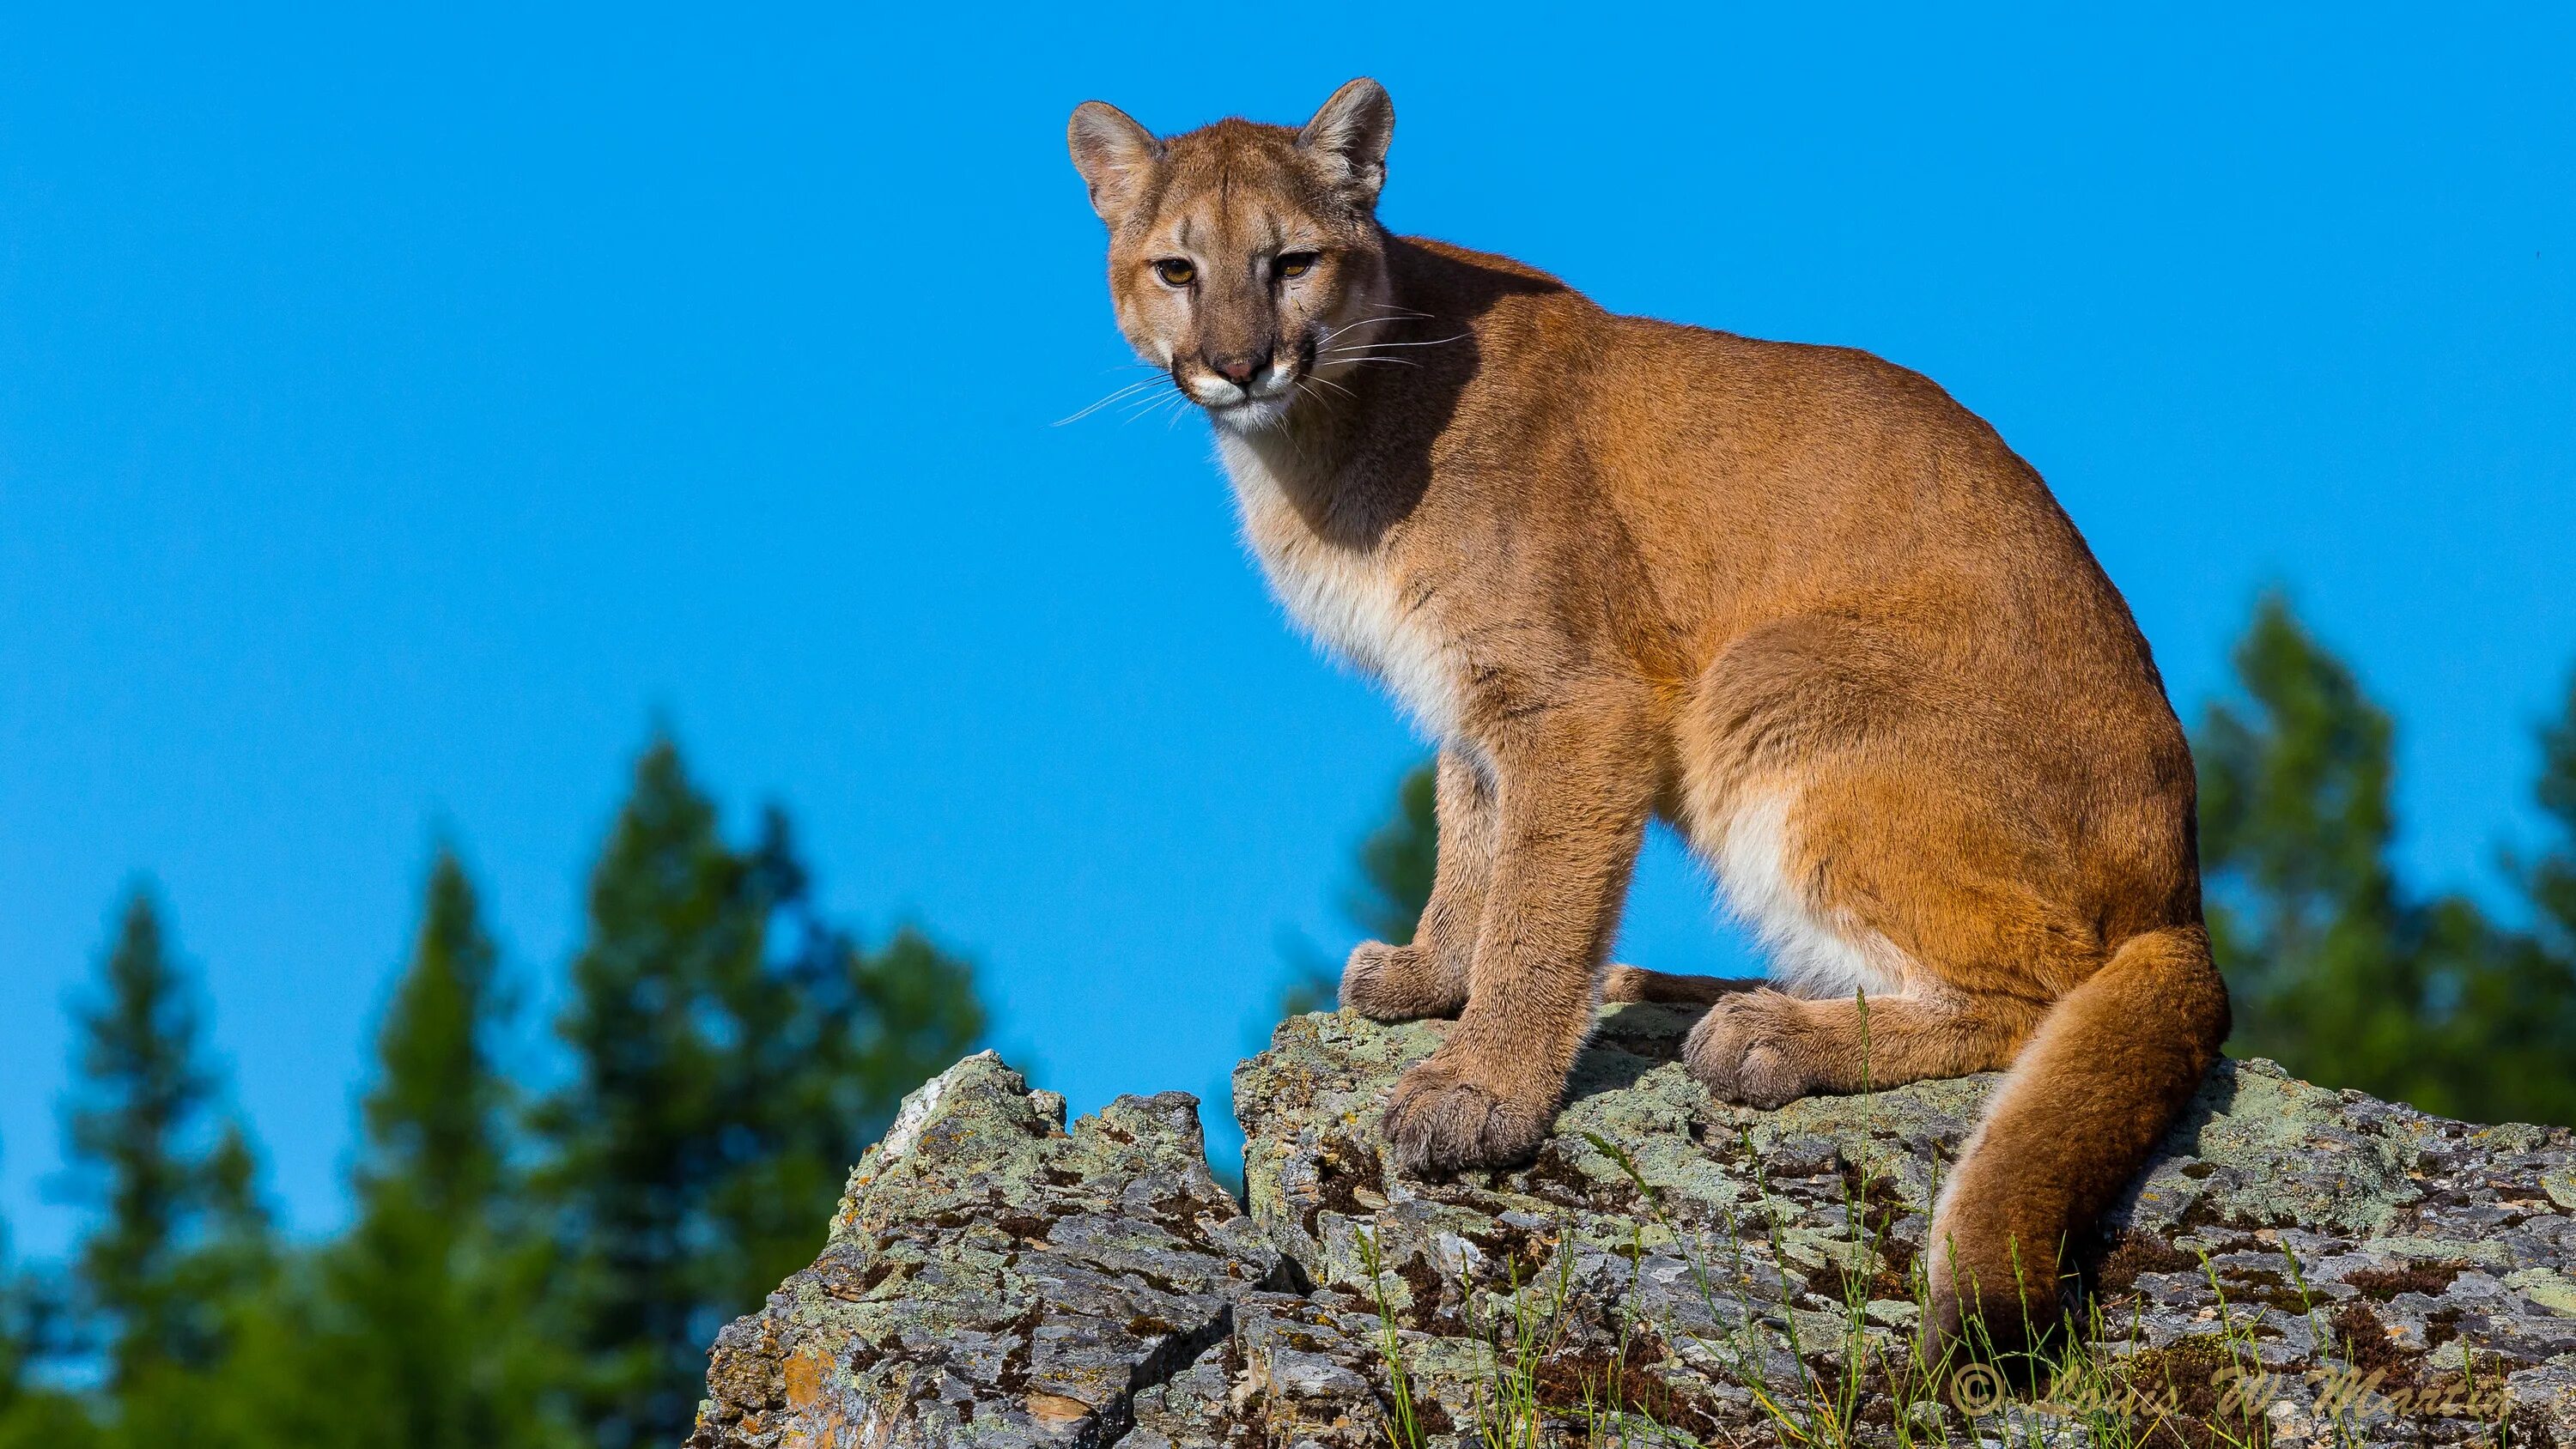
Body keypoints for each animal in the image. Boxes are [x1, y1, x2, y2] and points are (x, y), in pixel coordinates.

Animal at [1066, 79, 2236, 1359]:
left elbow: (1537, 901)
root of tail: (2184, 897)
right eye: (1177, 269)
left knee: (2041, 987)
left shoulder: (1578, 702)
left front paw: (1479, 1090)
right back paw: (1670, 986)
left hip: (1768, 681)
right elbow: (1476, 836)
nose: (1238, 364)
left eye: (1292, 262)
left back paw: (1769, 1036)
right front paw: (1434, 972)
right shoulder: (1475, 696)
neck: (1324, 428)